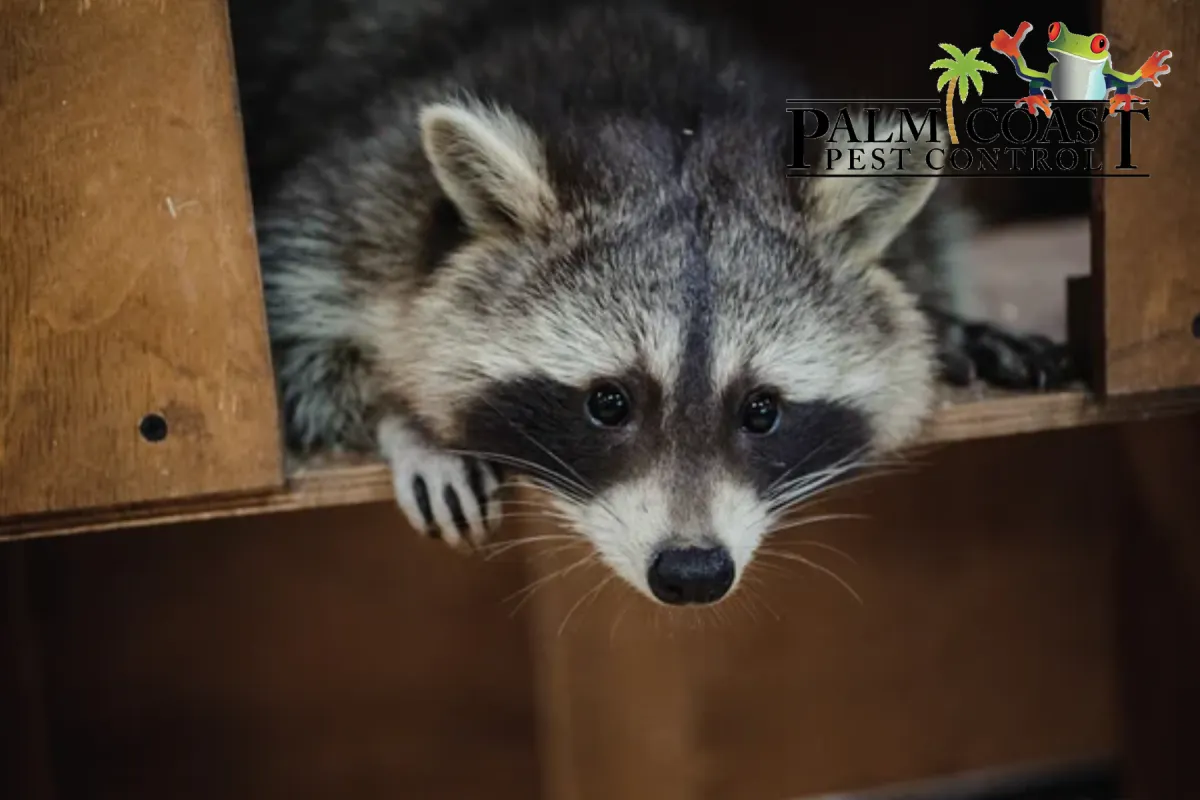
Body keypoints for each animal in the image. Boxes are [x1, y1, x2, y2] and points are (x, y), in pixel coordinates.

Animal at [230, 0, 1072, 605]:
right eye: (608, 402)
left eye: (761, 410)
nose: (692, 573)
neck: (674, 117)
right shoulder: (367, 191)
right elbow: (293, 331)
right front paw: (405, 422)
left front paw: (957, 328)